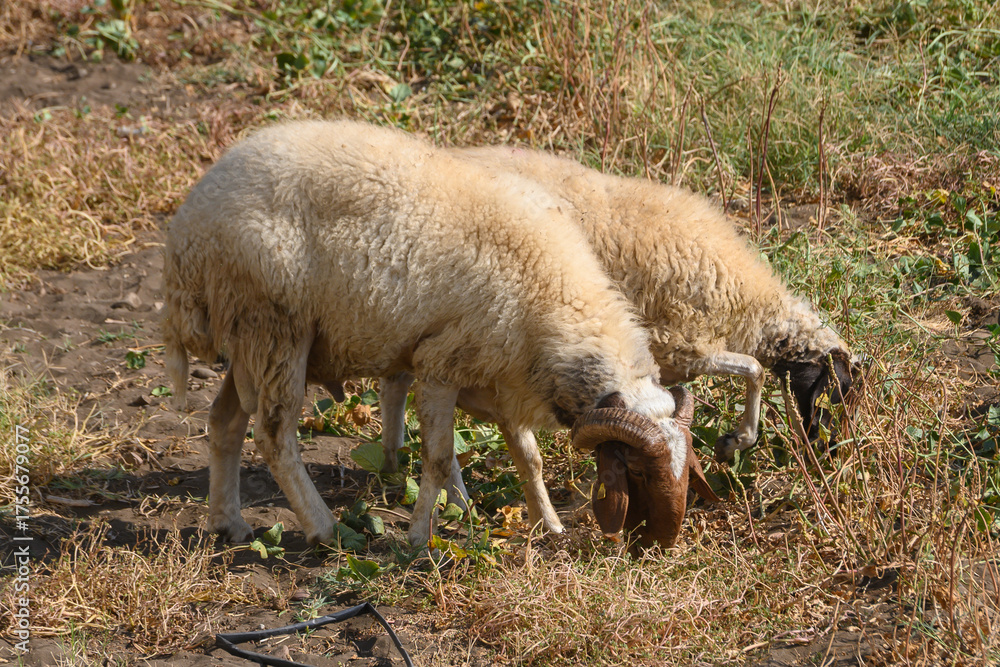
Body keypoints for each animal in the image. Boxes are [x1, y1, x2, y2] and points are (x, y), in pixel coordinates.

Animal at [162, 119, 718, 550]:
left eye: (688, 468)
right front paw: (417, 538)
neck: (552, 295)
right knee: (274, 436)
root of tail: (186, 229)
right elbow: (435, 458)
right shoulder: (438, 365)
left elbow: (530, 458)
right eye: (638, 472)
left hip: (247, 335)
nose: (663, 543)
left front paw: (549, 525)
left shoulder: (504, 373)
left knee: (224, 422)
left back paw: (228, 523)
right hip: (277, 326)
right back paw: (327, 530)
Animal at [378, 145, 857, 470]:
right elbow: (754, 370)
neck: (747, 302)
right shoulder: (679, 346)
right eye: (835, 395)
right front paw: (736, 441)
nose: (829, 452)